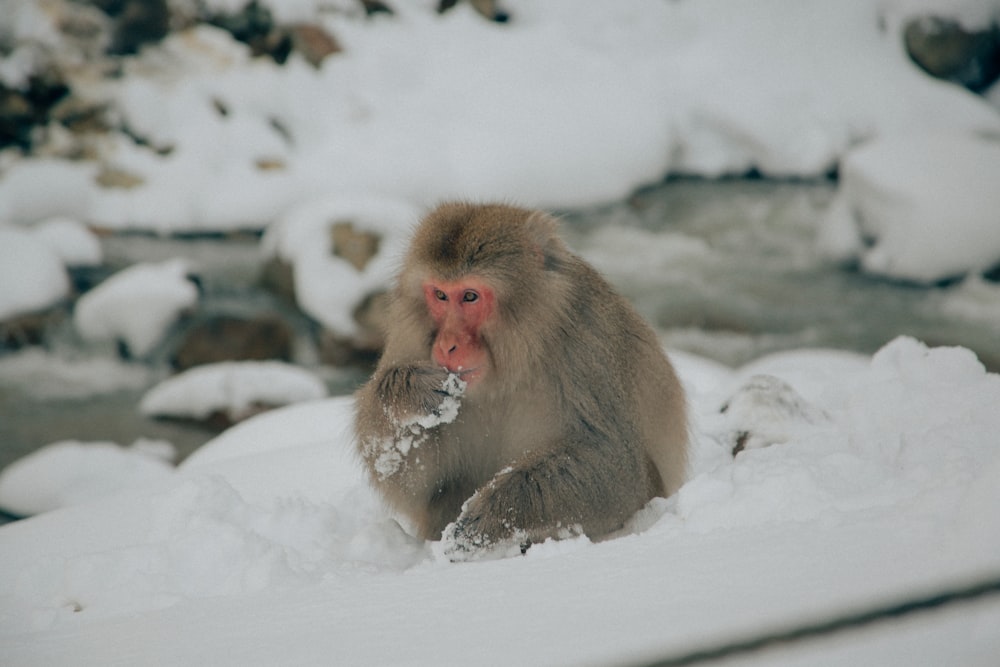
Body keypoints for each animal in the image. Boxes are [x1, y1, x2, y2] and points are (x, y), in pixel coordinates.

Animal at [356, 202, 692, 560]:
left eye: (470, 296)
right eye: (441, 296)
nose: (447, 345)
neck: (512, 362)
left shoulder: (589, 341)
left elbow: (616, 465)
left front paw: (489, 519)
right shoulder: (410, 339)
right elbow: (416, 485)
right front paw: (408, 395)